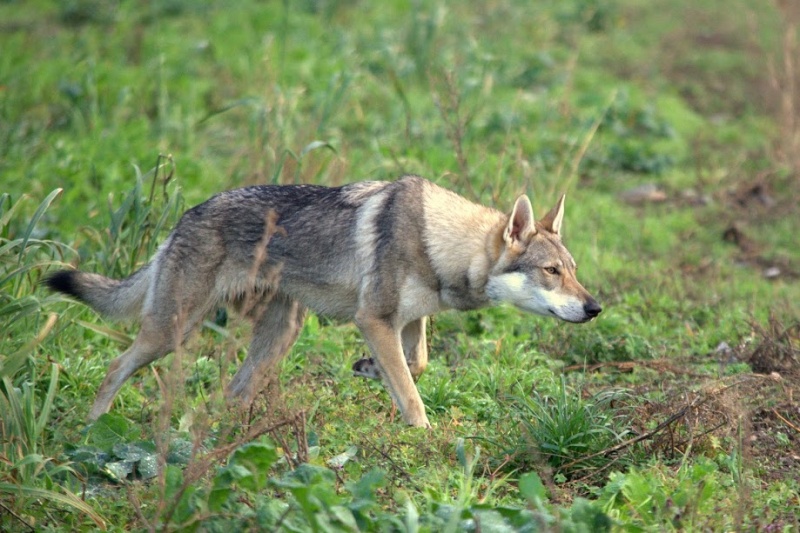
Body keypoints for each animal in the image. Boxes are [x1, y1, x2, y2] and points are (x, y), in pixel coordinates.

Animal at [45, 177, 600, 426]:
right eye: (551, 272)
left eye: (573, 270)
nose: (596, 309)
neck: (438, 242)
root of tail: (185, 216)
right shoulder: (372, 319)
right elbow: (413, 396)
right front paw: (425, 437)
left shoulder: (407, 322)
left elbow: (416, 365)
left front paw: (369, 370)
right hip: (173, 330)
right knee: (115, 366)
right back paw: (91, 431)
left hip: (277, 338)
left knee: (230, 395)